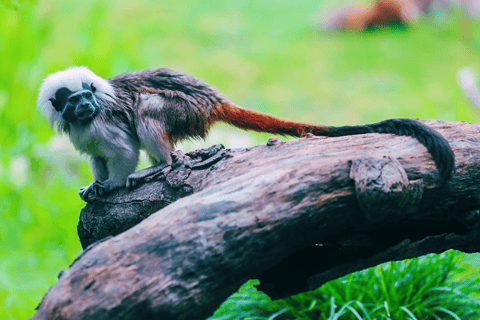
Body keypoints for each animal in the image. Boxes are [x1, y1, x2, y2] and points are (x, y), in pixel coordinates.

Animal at [37, 66, 454, 201]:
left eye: (88, 96)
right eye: (74, 101)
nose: (86, 105)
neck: (86, 120)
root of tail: (211, 100)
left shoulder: (103, 123)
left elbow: (122, 152)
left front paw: (112, 185)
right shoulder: (84, 133)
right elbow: (97, 159)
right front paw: (95, 185)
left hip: (184, 109)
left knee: (149, 108)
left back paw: (163, 164)